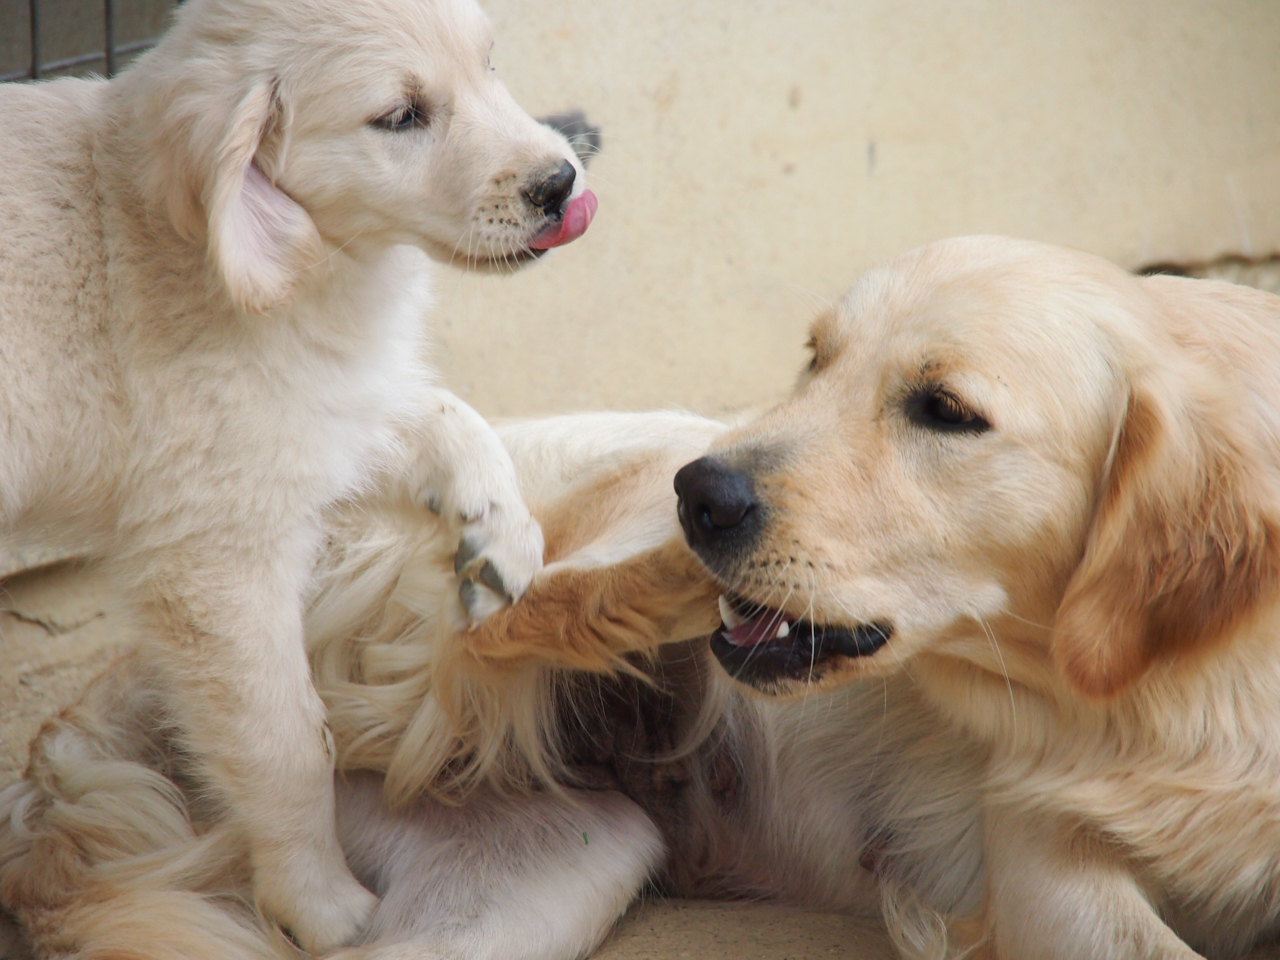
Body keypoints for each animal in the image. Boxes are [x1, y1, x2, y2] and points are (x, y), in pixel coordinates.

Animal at [0, 0, 596, 947]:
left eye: (490, 64)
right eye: (401, 117)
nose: (561, 182)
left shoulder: (320, 406)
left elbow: (438, 412)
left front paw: (499, 532)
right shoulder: (217, 556)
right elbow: (285, 747)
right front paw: (320, 904)